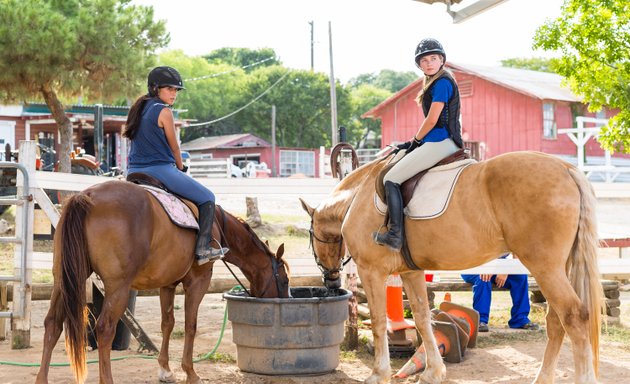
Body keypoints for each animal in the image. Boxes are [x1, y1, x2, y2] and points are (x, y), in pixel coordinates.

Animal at [34, 181, 292, 384]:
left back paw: (41, 378)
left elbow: (167, 323)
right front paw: (190, 372)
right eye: (284, 279)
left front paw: (165, 370)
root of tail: (87, 196)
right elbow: (190, 325)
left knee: (52, 324)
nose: (286, 298)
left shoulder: (167, 284)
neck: (217, 224)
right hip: (117, 287)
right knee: (105, 328)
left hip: (63, 279)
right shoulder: (198, 281)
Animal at [304, 151, 604, 384]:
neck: (356, 198)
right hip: (557, 268)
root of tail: (565, 168)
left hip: (545, 268)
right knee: (556, 320)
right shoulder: (411, 272)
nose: (331, 283)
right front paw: (433, 372)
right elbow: (423, 319)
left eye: (312, 239)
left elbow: (379, 322)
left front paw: (379, 373)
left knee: (574, 317)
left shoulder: (371, 271)